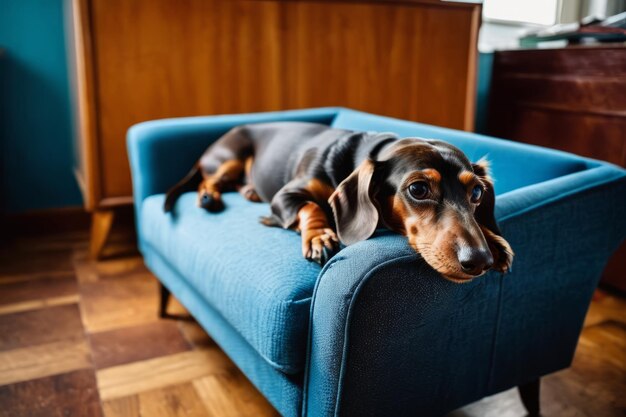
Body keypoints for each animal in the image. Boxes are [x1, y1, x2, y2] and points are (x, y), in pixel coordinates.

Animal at [163, 122, 510, 282]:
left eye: (476, 194)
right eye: (419, 189)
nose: (479, 259)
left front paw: (493, 239)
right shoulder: (284, 197)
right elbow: (312, 206)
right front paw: (319, 236)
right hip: (229, 158)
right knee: (209, 179)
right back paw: (208, 196)